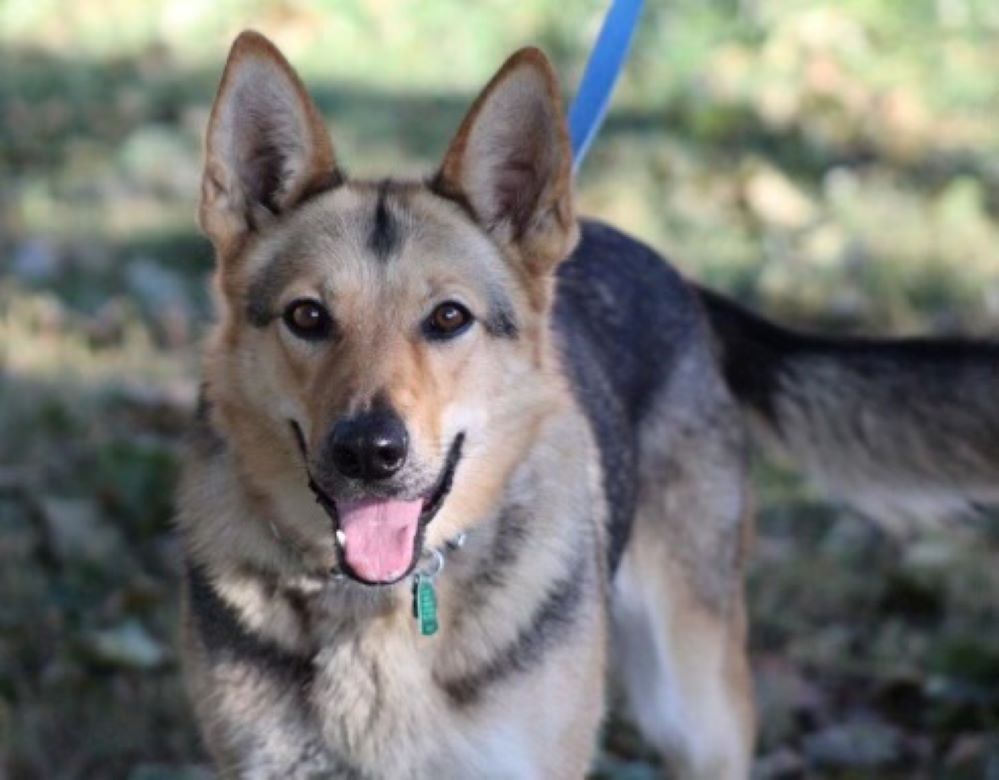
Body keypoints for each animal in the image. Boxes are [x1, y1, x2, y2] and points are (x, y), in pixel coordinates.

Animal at [180, 32, 999, 780]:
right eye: (307, 316)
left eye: (448, 318)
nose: (368, 452)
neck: (374, 606)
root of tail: (679, 281)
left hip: (695, 707)